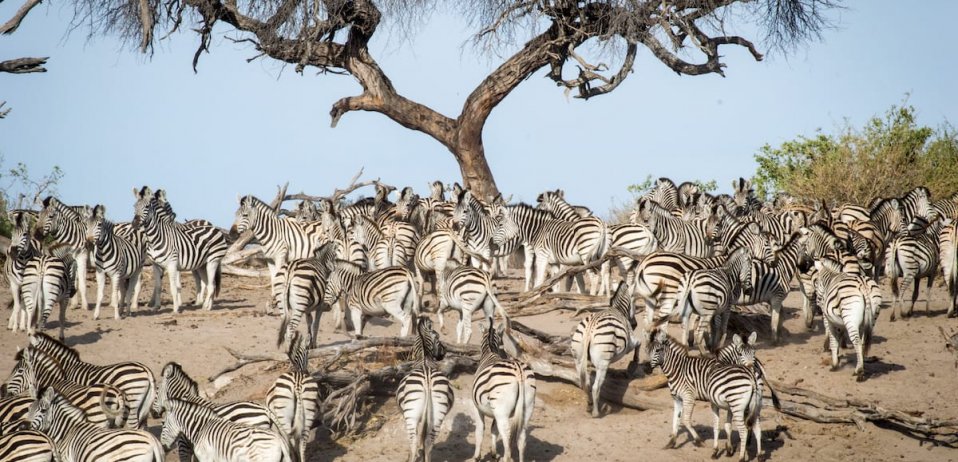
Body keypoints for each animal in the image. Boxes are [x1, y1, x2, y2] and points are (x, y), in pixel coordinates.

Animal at [267, 333, 320, 462]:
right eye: (308, 353)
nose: (307, 371)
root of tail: (297, 383)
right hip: (308, 410)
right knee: (302, 442)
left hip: (284, 415)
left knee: (291, 439)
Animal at [397, 317, 453, 462]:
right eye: (438, 339)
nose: (444, 352)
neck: (425, 360)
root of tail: (427, 380)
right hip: (438, 413)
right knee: (428, 441)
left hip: (411, 413)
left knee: (413, 441)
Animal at [470, 319, 536, 462]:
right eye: (502, 344)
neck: (489, 353)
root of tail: (518, 370)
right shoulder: (494, 411)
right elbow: (493, 429)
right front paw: (494, 453)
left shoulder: (477, 407)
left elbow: (480, 430)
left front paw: (477, 456)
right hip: (527, 407)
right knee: (522, 438)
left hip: (502, 411)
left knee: (507, 437)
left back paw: (506, 457)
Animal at [570, 280, 640, 417]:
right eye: (634, 302)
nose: (635, 324)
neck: (618, 309)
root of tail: (589, 329)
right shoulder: (630, 343)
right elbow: (639, 343)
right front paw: (634, 363)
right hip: (602, 363)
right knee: (595, 387)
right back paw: (596, 413)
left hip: (578, 358)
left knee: (585, 383)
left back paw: (589, 405)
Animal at [648, 330, 762, 462]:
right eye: (647, 351)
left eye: (657, 350)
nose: (648, 368)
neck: (678, 369)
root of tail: (752, 377)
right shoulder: (677, 399)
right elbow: (675, 419)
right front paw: (671, 442)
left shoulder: (688, 397)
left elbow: (686, 420)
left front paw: (699, 441)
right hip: (753, 404)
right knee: (756, 427)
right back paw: (757, 454)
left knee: (745, 428)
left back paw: (743, 455)